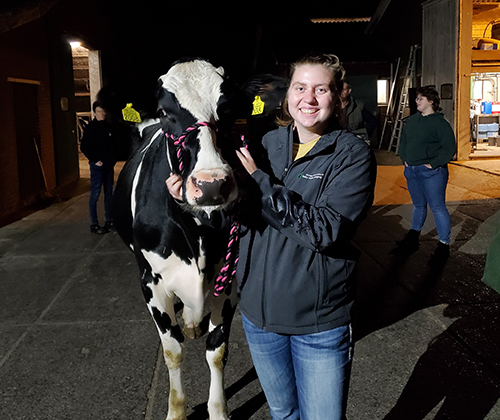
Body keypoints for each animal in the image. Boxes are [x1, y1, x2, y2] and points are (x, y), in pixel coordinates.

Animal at [112, 58, 286, 420]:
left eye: (229, 109)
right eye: (165, 112)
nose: (211, 184)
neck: (198, 234)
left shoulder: (229, 284)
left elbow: (217, 351)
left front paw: (218, 411)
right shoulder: (151, 282)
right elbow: (173, 351)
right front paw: (176, 411)